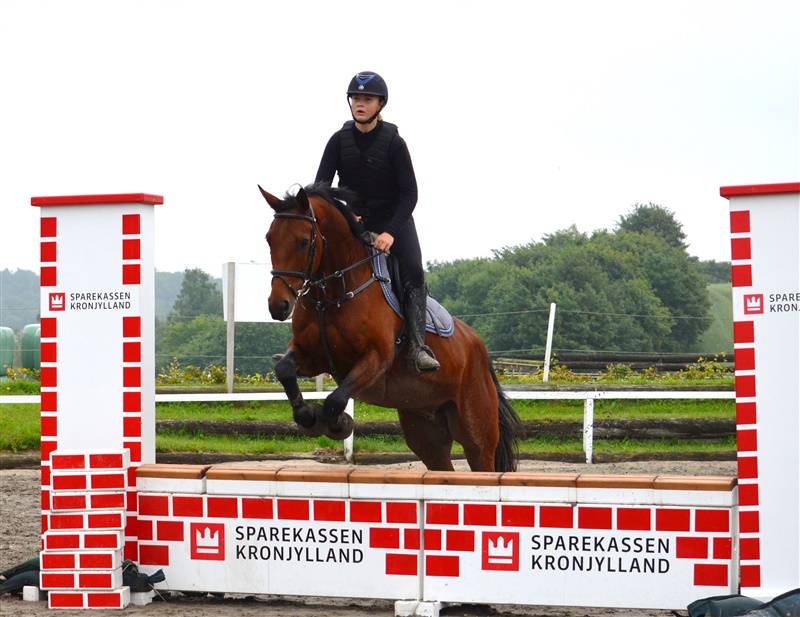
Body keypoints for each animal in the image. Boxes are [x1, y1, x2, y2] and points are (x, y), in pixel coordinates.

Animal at [259, 183, 522, 472]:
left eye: (304, 242)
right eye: (269, 239)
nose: (278, 305)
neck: (332, 295)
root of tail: (478, 345)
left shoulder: (376, 359)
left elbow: (335, 400)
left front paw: (338, 423)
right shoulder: (312, 357)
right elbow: (284, 369)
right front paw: (306, 415)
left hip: (477, 433)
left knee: (480, 459)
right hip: (426, 431)